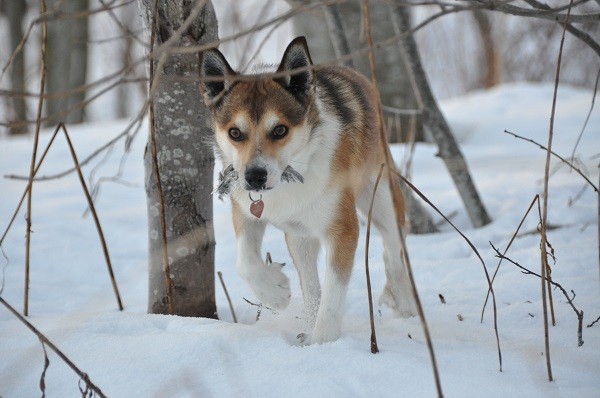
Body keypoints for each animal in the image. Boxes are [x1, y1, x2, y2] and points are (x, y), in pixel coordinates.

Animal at [199, 37, 414, 346]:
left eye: (280, 130)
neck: (291, 175)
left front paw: (323, 341)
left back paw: (402, 299)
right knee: (311, 283)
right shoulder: (247, 210)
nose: (254, 177)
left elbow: (334, 292)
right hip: (300, 234)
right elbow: (246, 261)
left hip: (381, 193)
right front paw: (276, 292)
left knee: (394, 244)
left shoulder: (343, 228)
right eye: (235, 133)